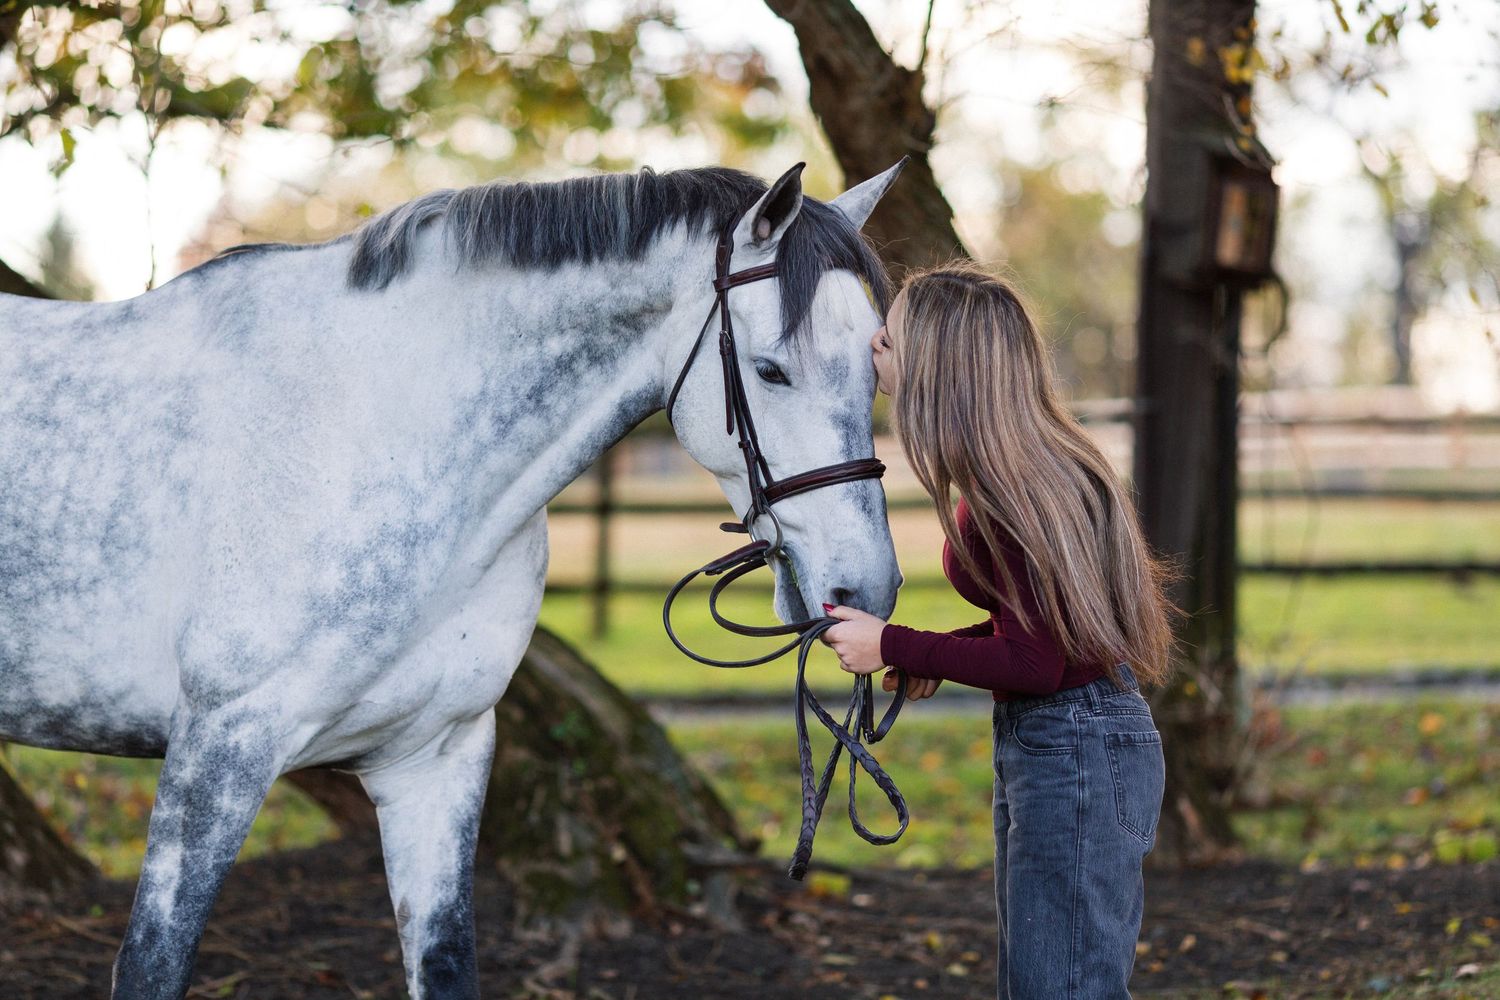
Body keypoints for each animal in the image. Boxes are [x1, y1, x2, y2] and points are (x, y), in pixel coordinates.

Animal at [0, 160, 905, 999]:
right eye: (772, 370)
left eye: (875, 365)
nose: (866, 592)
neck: (372, 430)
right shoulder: (217, 750)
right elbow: (151, 965)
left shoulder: (434, 757)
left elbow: (446, 962)